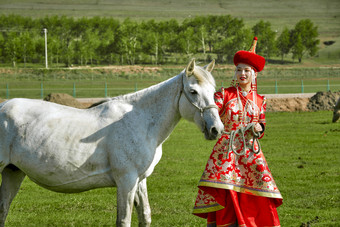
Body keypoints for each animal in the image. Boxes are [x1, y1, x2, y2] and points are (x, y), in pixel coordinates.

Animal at [0, 59, 223, 227]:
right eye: (193, 91)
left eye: (213, 90)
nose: (216, 129)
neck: (140, 121)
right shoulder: (126, 180)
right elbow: (124, 220)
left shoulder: (140, 180)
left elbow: (145, 216)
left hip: (13, 171)